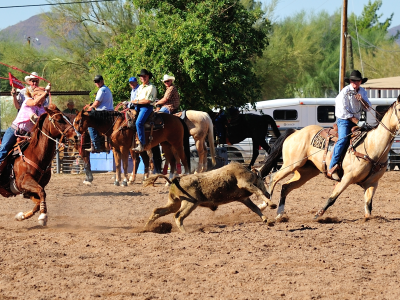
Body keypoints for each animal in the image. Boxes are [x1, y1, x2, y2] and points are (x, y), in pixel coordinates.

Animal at [260, 95, 400, 220]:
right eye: (399, 109)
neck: (372, 146)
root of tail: (296, 132)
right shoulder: (347, 178)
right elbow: (333, 198)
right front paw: (317, 215)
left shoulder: (372, 183)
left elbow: (368, 205)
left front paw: (368, 217)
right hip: (292, 164)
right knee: (274, 177)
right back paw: (266, 203)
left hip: (305, 172)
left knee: (285, 187)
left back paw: (279, 214)